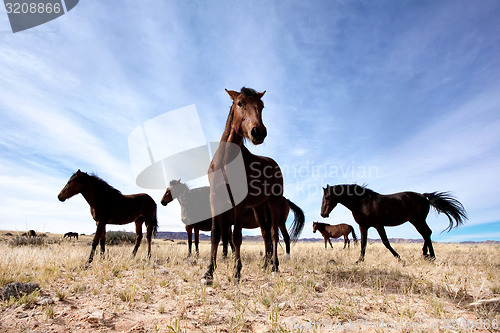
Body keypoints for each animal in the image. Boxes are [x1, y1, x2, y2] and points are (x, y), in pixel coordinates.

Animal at [163, 179, 304, 256]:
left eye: (168, 191)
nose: (162, 201)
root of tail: (285, 199)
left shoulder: (192, 226)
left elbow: (193, 241)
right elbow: (201, 241)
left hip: (278, 222)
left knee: (282, 238)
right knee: (282, 238)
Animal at [201, 86, 302, 282]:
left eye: (262, 106)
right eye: (240, 103)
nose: (259, 132)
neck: (225, 162)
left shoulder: (238, 205)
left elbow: (236, 237)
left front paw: (237, 271)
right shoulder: (215, 200)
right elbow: (215, 235)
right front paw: (208, 272)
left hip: (274, 203)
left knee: (273, 234)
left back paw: (275, 266)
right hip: (259, 208)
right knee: (265, 235)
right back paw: (265, 265)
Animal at [322, 183, 466, 260]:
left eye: (327, 197)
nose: (323, 213)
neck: (362, 203)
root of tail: (423, 196)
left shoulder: (378, 225)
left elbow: (385, 242)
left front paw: (399, 258)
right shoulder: (363, 226)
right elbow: (363, 243)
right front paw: (359, 261)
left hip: (419, 219)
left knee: (427, 233)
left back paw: (431, 256)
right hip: (414, 220)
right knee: (426, 233)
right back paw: (426, 255)